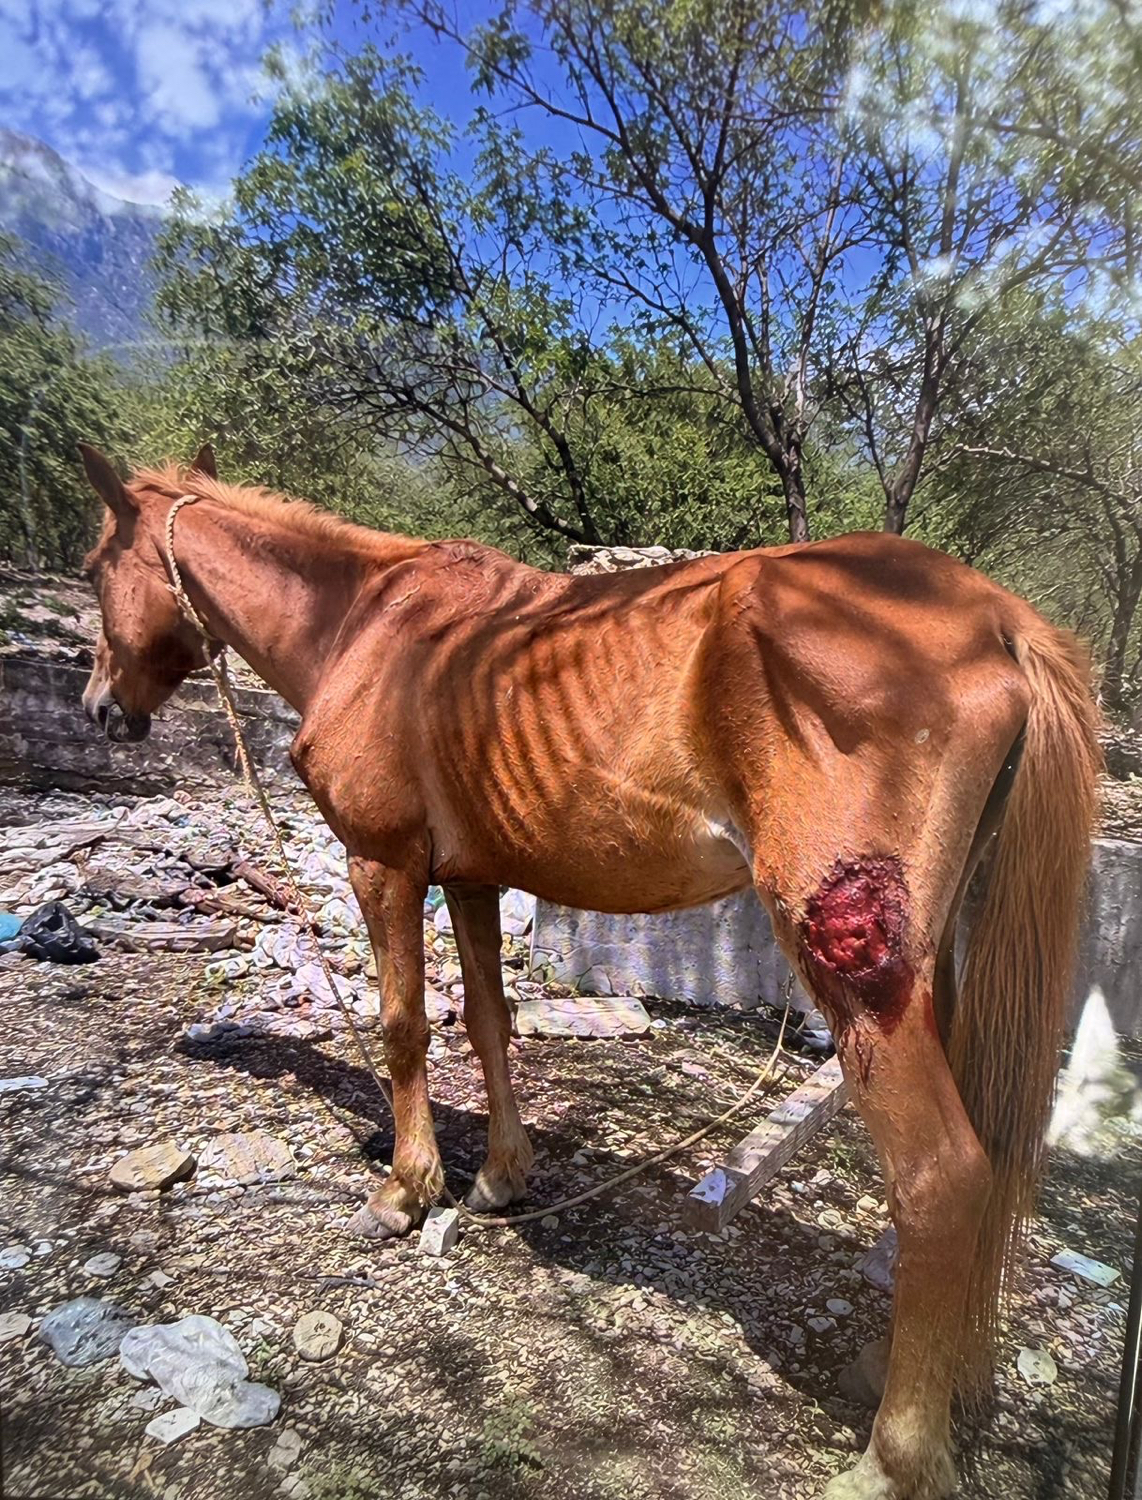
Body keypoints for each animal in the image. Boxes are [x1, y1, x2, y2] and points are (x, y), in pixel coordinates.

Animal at [78, 443, 1099, 1500]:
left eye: (92, 569)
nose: (100, 710)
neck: (364, 621)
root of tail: (1000, 619)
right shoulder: (473, 877)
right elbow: (488, 1023)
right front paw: (499, 1177)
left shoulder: (383, 865)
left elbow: (405, 1026)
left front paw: (405, 1192)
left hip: (857, 970)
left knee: (941, 1177)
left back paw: (892, 1461)